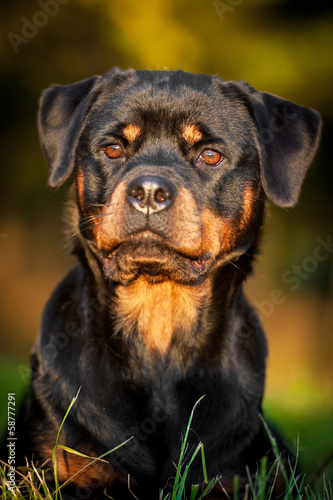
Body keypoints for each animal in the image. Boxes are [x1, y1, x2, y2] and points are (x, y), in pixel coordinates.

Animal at [16, 68, 322, 498]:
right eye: (113, 148)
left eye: (210, 155)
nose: (148, 190)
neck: (158, 327)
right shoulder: (62, 472)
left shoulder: (236, 477)